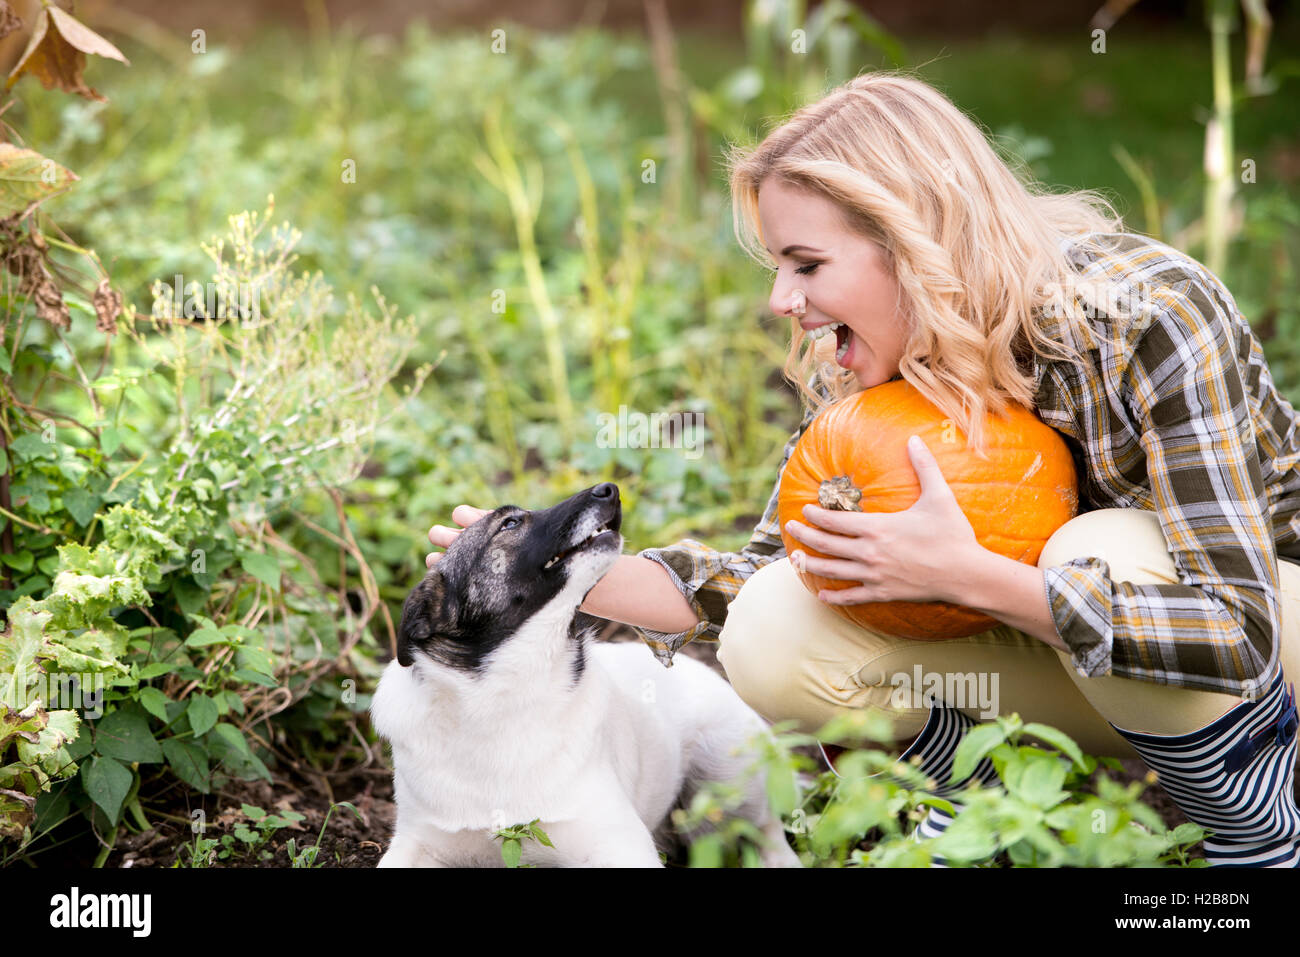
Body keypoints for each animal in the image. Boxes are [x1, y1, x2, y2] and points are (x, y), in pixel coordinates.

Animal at [366, 486, 806, 868]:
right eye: (510, 523)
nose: (610, 489)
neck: (502, 699)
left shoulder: (617, 842)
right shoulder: (418, 843)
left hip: (728, 773)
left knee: (766, 827)